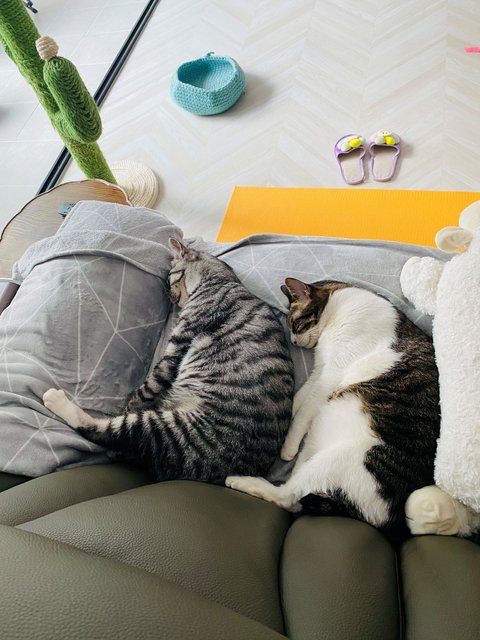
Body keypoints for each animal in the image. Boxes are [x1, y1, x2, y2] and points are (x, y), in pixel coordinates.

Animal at [43, 239, 294, 484]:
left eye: (169, 279)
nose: (171, 298)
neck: (220, 280)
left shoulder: (179, 343)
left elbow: (147, 388)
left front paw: (129, 406)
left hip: (166, 428)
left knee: (105, 432)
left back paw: (57, 400)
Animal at [226, 277, 440, 530]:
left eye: (295, 324)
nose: (294, 341)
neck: (339, 302)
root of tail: (390, 518)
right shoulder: (319, 371)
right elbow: (299, 398)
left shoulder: (331, 373)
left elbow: (304, 411)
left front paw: (288, 445)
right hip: (315, 446)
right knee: (297, 492)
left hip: (336, 460)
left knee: (288, 497)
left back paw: (241, 480)